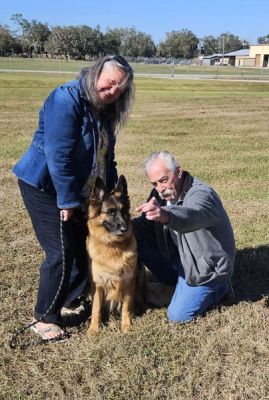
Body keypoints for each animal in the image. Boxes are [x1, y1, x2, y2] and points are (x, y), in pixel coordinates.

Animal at [87, 175, 143, 334]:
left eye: (123, 211)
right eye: (111, 212)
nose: (124, 228)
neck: (113, 246)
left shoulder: (129, 281)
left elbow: (126, 307)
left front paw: (126, 325)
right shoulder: (98, 284)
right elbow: (96, 308)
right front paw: (94, 329)